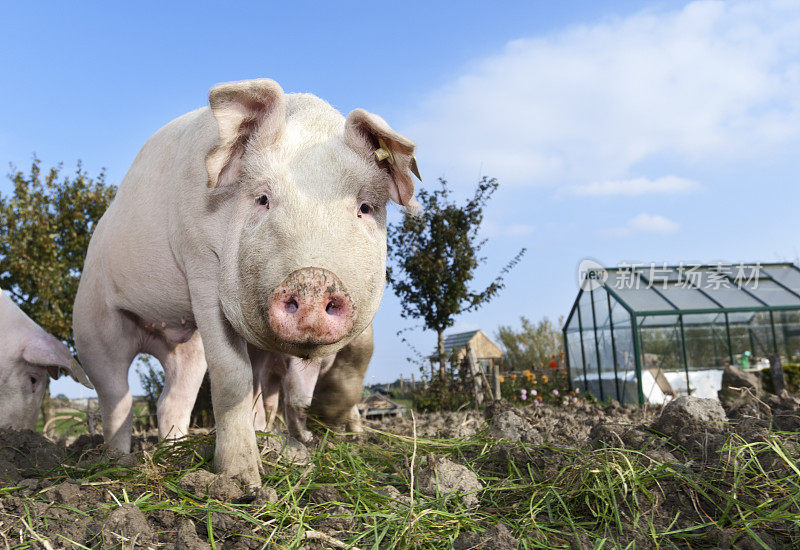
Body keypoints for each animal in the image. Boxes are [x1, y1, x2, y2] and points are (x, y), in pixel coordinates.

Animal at [73, 78, 418, 488]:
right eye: (262, 199)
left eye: (365, 207)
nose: (313, 279)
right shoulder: (200, 263)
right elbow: (232, 376)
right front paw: (243, 482)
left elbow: (354, 353)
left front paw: (326, 437)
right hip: (92, 322)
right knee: (116, 395)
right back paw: (117, 461)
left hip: (186, 348)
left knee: (172, 398)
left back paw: (175, 451)